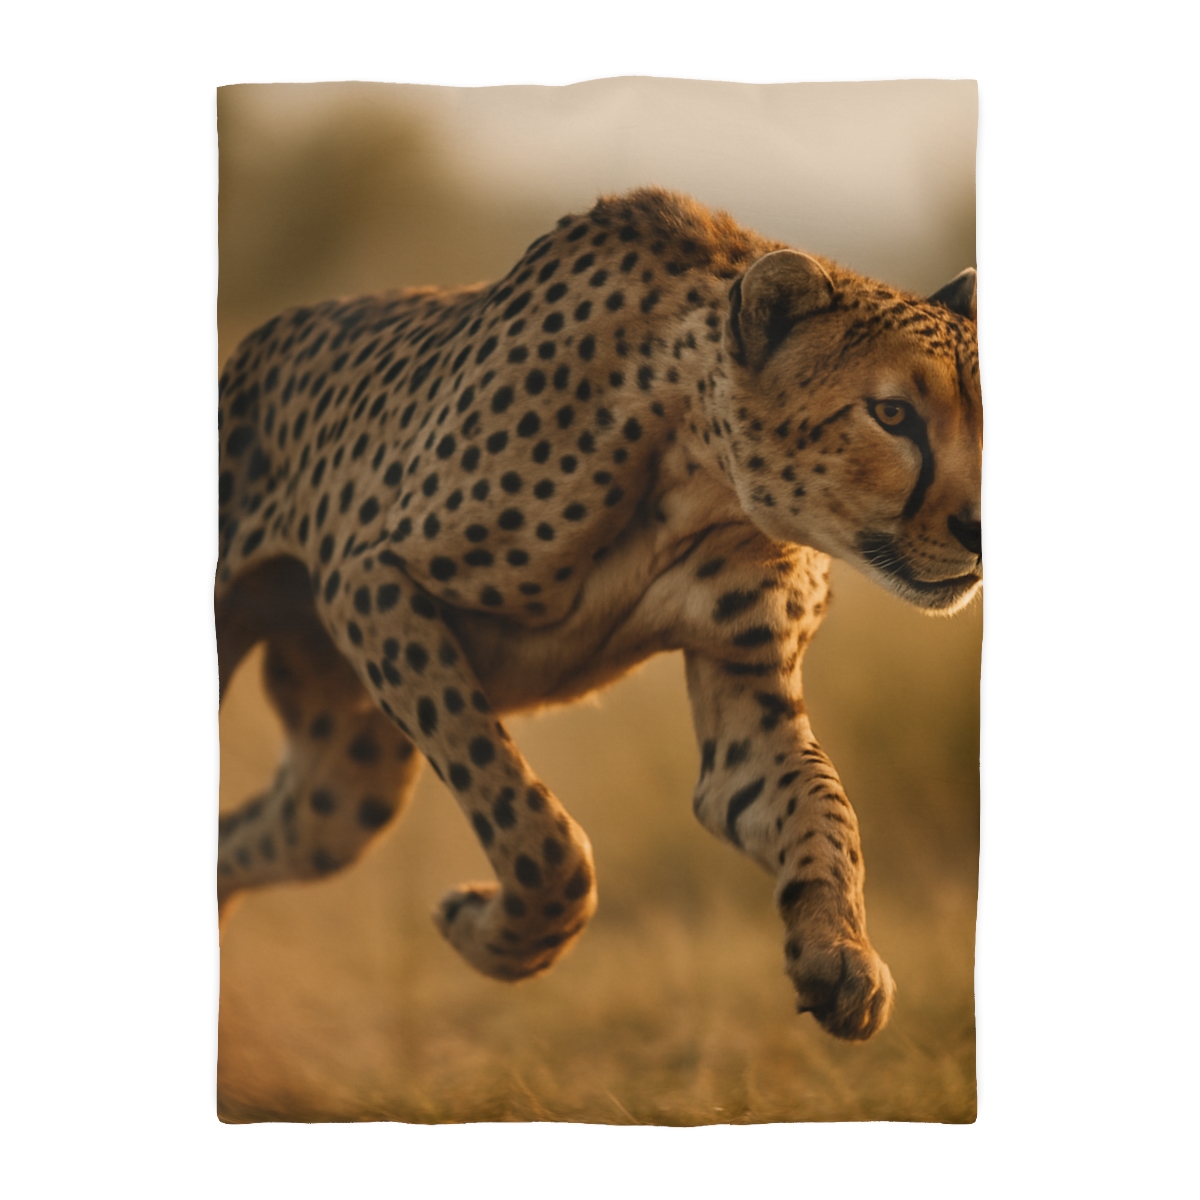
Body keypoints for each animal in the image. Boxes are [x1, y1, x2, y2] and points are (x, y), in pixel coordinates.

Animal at [215, 187, 981, 1042]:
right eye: (892, 414)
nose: (982, 530)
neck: (699, 467)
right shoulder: (371, 579)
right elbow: (535, 827)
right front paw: (495, 937)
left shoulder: (744, 678)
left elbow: (819, 809)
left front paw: (840, 954)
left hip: (349, 784)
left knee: (247, 837)